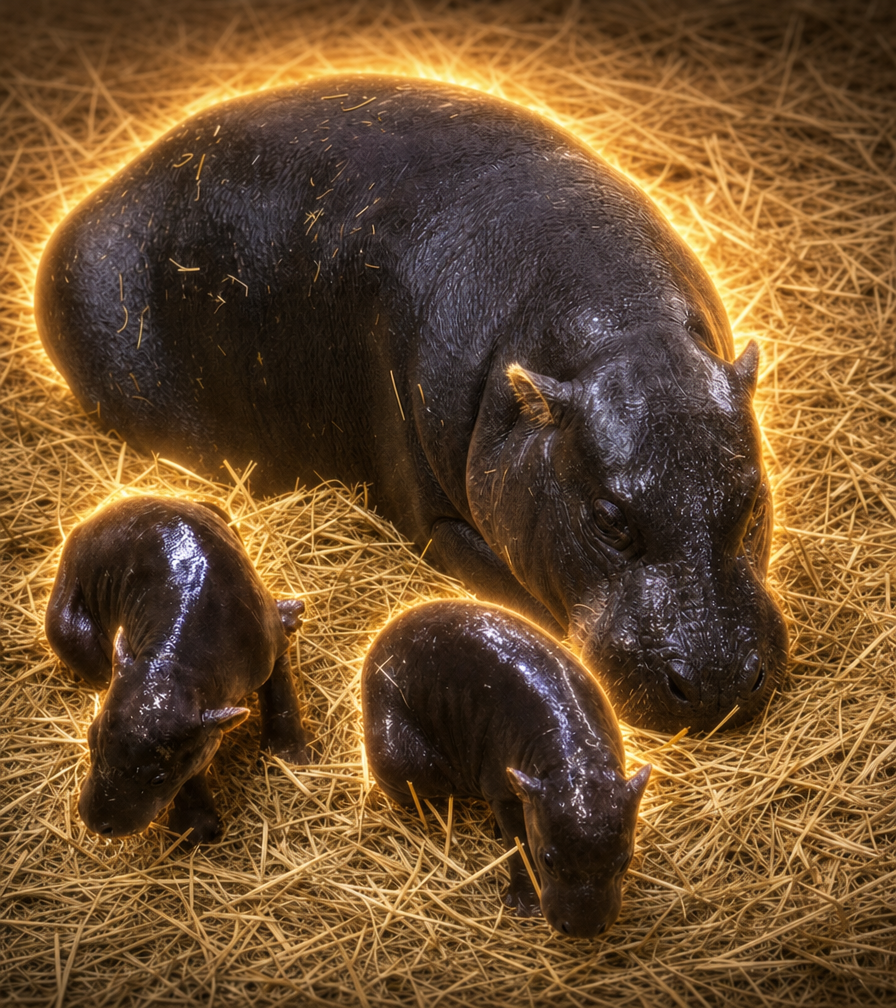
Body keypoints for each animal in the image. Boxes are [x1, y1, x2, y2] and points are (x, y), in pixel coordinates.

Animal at [35, 73, 788, 732]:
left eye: (755, 497)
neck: (621, 331)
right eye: (608, 519)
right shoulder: (439, 522)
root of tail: (87, 209)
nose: (717, 683)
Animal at [45, 495, 309, 844]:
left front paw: (289, 758)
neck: (175, 665)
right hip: (66, 626)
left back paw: (290, 613)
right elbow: (192, 772)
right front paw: (197, 831)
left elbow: (282, 697)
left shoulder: (270, 648)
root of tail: (88, 521)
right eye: (90, 740)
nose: (94, 822)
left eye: (158, 778)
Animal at [362, 600, 650, 938]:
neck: (575, 758)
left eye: (625, 860)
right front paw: (525, 905)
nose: (583, 928)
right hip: (399, 755)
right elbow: (519, 843)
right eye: (548, 859)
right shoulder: (505, 793)